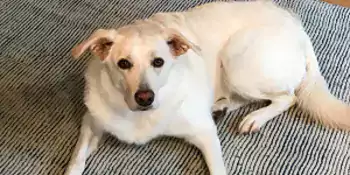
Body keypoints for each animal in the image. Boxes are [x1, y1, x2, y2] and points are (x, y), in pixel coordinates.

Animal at [64, 0, 350, 174]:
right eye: (123, 63)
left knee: (288, 97)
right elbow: (77, 157)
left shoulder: (204, 133)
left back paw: (255, 118)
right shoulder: (92, 121)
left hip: (236, 58)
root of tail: (297, 27)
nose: (145, 97)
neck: (141, 117)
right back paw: (221, 106)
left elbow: (217, 167)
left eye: (158, 62)